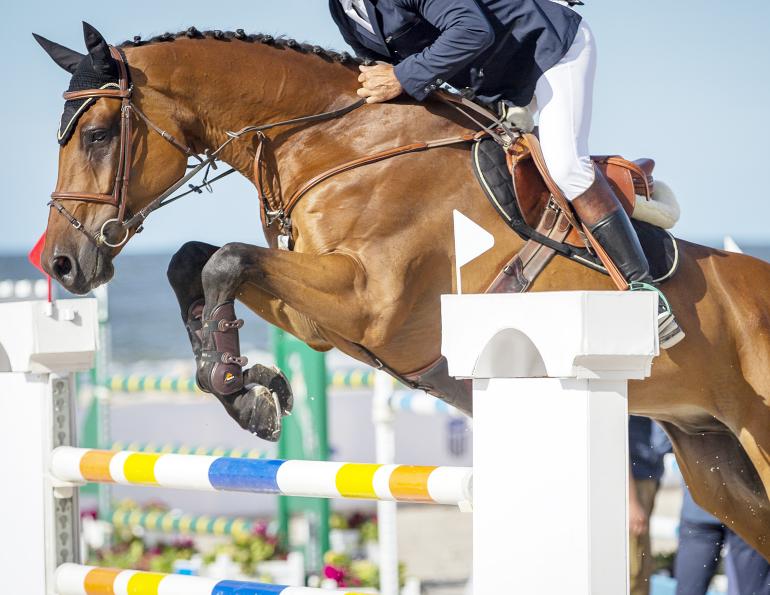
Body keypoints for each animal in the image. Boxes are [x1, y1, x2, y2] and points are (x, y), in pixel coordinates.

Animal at [35, 24, 770, 558]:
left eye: (96, 135)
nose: (64, 263)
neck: (338, 141)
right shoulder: (320, 320)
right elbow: (196, 261)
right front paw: (253, 389)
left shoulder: (369, 302)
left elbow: (225, 262)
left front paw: (240, 388)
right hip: (717, 464)